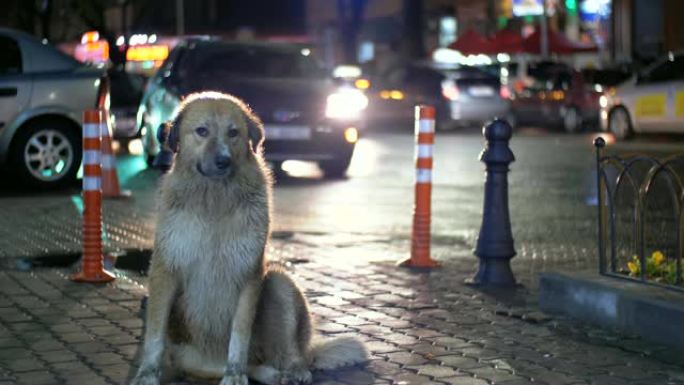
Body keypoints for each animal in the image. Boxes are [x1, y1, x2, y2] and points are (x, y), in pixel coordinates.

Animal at [132, 92, 372, 384]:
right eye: (202, 131)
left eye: (233, 132)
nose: (224, 160)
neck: (214, 200)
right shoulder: (165, 271)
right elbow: (155, 335)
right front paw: (147, 373)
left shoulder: (248, 275)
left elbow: (239, 334)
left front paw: (234, 374)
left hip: (279, 282)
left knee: (288, 354)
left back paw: (292, 371)